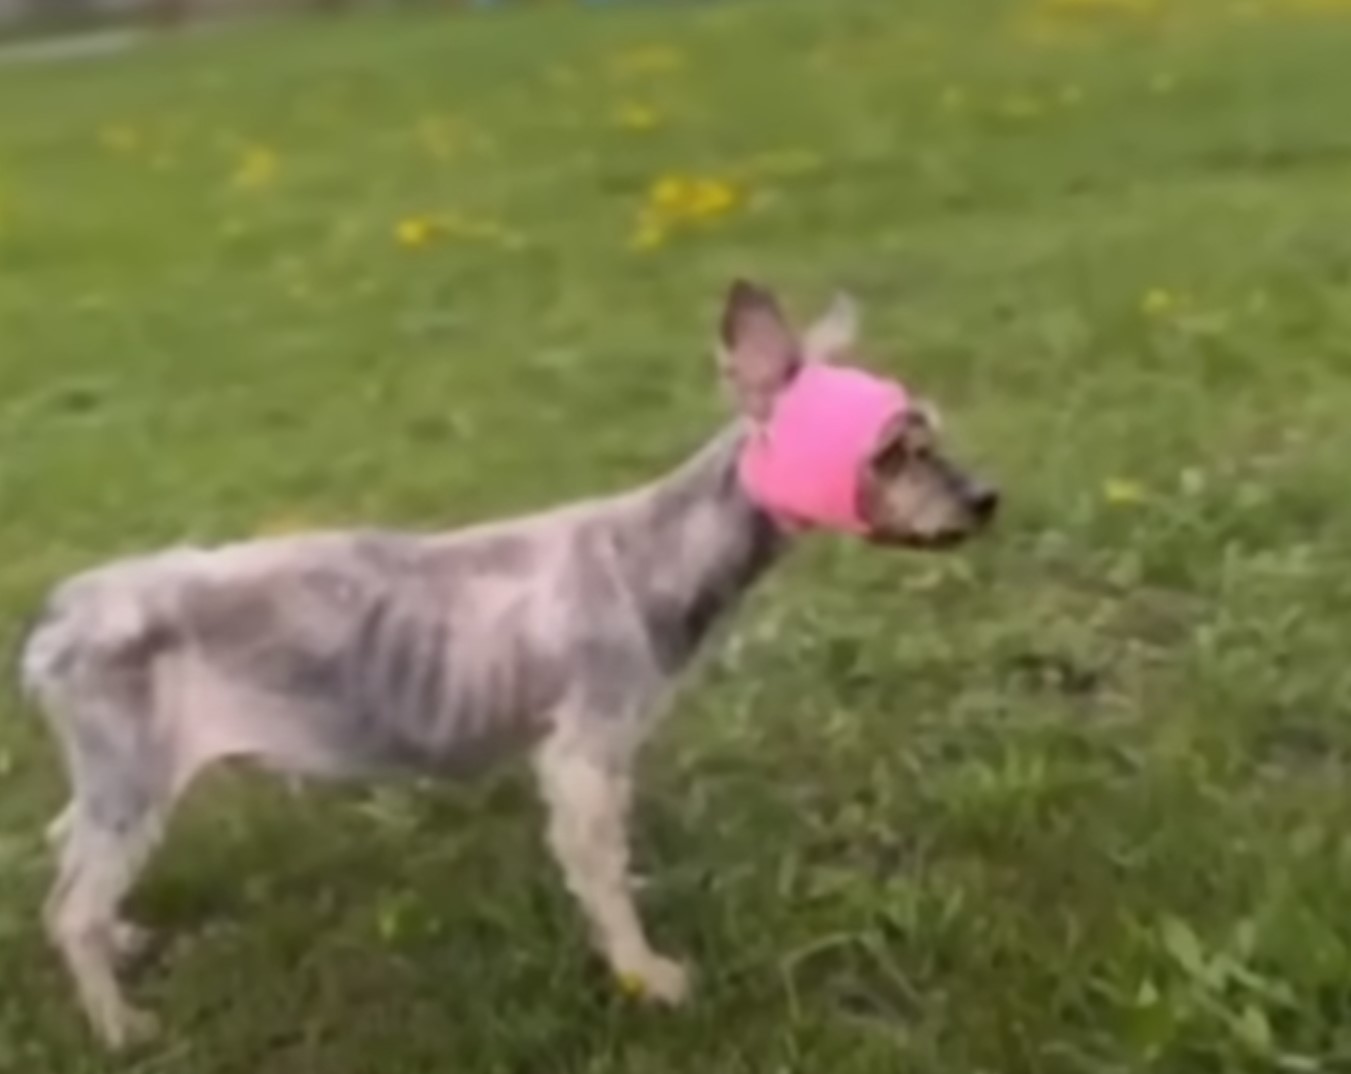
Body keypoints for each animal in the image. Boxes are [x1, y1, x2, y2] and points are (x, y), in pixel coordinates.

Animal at [15, 276, 999, 1048]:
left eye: (929, 438)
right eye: (893, 452)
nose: (987, 497)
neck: (658, 553)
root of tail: (60, 620)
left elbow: (605, 863)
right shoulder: (583, 753)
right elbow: (600, 876)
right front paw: (646, 973)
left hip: (119, 779)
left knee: (67, 851)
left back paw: (123, 942)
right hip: (133, 774)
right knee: (68, 906)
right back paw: (117, 1024)